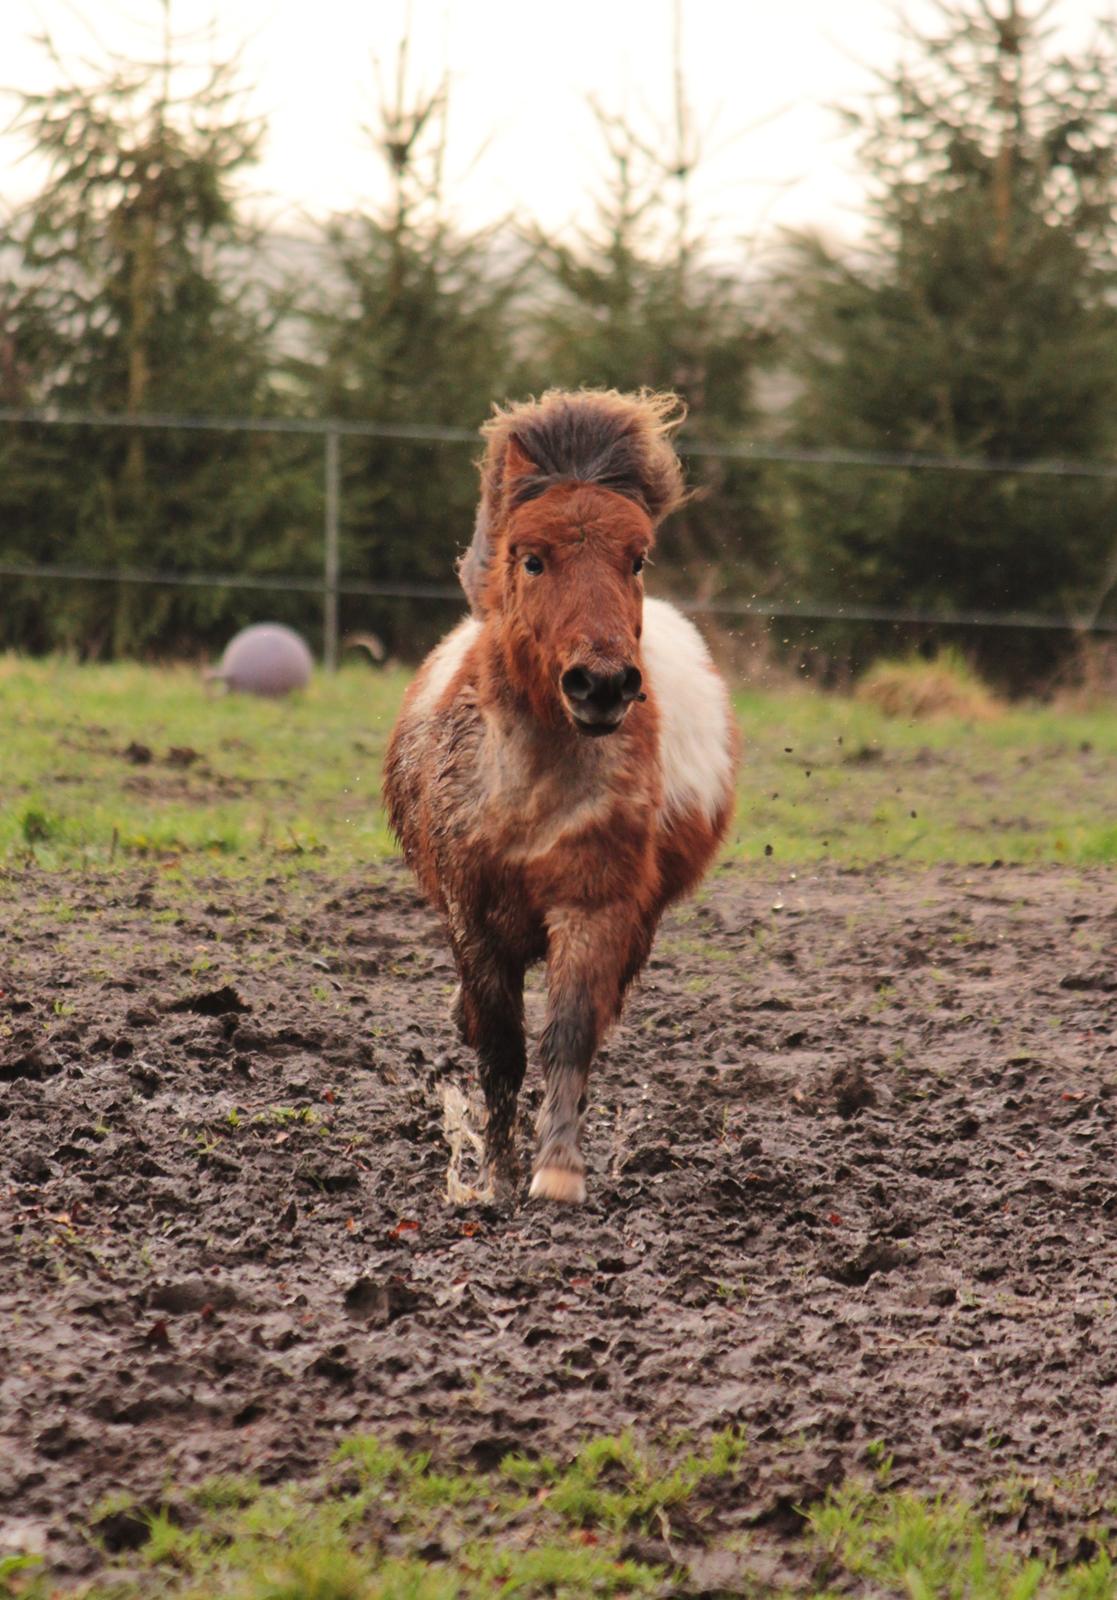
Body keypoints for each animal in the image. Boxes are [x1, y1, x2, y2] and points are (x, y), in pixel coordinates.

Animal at [382, 393, 729, 1203]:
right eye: (531, 557)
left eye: (637, 558)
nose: (602, 684)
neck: (529, 794)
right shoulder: (473, 919)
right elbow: (500, 1048)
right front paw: (495, 1175)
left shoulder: (594, 908)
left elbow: (568, 1034)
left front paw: (557, 1171)